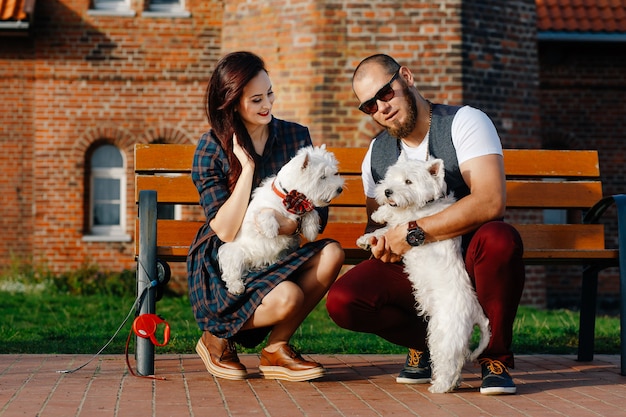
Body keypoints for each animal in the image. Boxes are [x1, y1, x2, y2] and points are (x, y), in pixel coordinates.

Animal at [217, 145, 344, 294]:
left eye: (334, 173)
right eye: (322, 177)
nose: (339, 189)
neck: (289, 196)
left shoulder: (302, 208)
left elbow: (312, 212)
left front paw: (311, 231)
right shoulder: (257, 214)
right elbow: (266, 213)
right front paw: (270, 231)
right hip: (234, 252)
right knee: (232, 272)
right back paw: (237, 287)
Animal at [356, 154, 488, 392]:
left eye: (408, 181)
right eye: (392, 177)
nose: (387, 191)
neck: (427, 204)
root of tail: (476, 311)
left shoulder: (405, 222)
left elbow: (391, 223)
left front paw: (379, 219)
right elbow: (387, 222)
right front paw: (372, 228)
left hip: (444, 333)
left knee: (448, 362)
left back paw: (440, 387)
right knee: (458, 361)